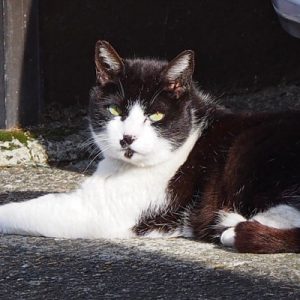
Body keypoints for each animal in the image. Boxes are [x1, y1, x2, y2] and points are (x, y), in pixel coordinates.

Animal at [0, 40, 300, 253]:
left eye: (154, 115)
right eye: (114, 110)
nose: (127, 138)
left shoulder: (98, 210)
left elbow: (35, 207)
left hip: (248, 150)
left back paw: (232, 228)